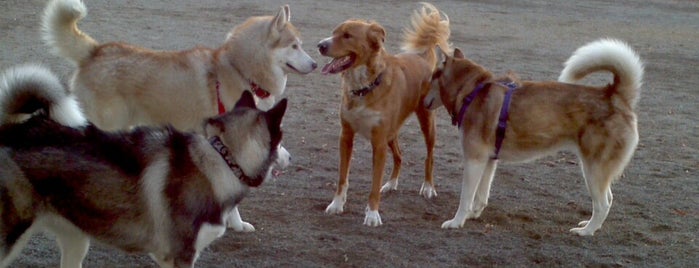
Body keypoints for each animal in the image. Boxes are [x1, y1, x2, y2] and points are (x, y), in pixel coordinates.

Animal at [316, 3, 448, 225]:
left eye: (347, 35)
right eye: (333, 33)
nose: (320, 45)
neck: (363, 87)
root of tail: (420, 58)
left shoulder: (378, 144)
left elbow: (374, 184)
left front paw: (372, 214)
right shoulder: (346, 137)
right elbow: (342, 177)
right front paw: (336, 204)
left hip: (426, 123)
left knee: (429, 156)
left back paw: (428, 187)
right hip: (391, 133)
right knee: (399, 156)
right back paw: (391, 184)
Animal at [422, 38, 644, 236]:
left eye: (432, 76)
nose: (421, 101)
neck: (472, 91)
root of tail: (615, 96)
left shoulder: (474, 159)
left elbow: (465, 198)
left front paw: (457, 221)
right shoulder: (488, 160)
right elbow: (480, 196)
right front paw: (473, 215)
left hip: (593, 170)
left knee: (603, 204)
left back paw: (586, 231)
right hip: (596, 170)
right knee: (609, 199)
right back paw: (590, 226)